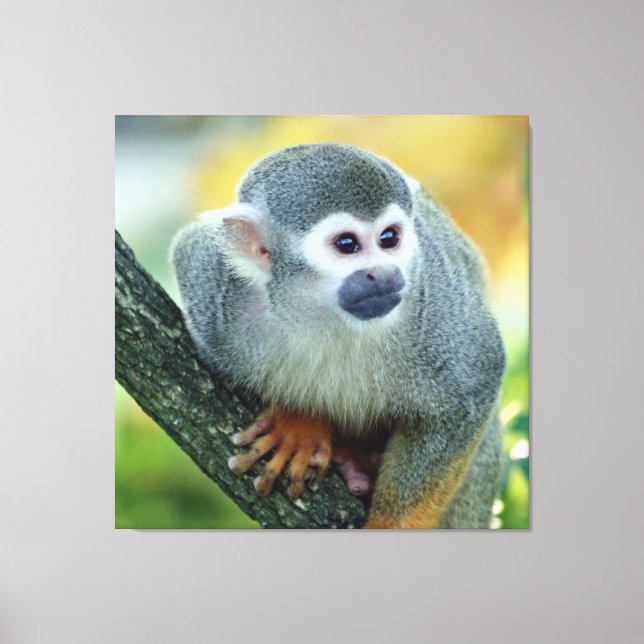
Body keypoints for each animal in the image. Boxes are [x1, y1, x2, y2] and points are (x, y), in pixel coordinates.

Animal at [170, 143, 505, 528]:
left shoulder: (434, 299)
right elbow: (187, 247)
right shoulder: (219, 298)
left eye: (389, 238)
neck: (327, 316)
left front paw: (390, 527)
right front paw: (298, 422)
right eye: (347, 244)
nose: (384, 274)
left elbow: (476, 383)